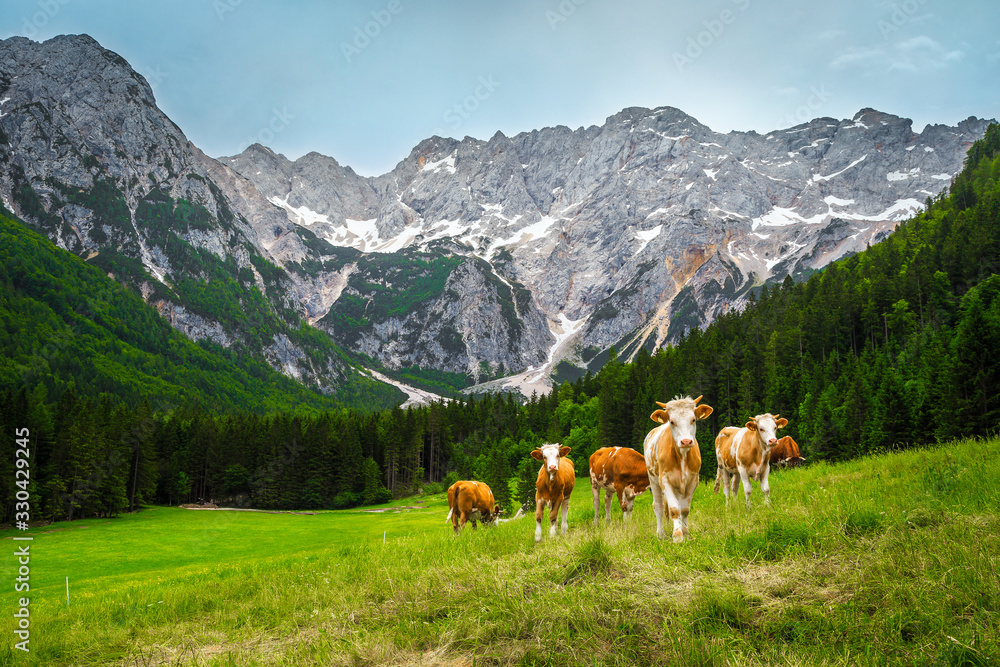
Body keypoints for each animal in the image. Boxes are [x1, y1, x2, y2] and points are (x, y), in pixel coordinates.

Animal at [640, 396, 712, 544]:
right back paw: (660, 534)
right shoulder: (665, 481)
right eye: (672, 421)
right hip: (653, 480)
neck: (682, 456)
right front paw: (677, 536)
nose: (686, 442)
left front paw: (686, 533)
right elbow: (674, 509)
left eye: (693, 419)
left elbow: (684, 510)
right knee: (659, 506)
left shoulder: (693, 481)